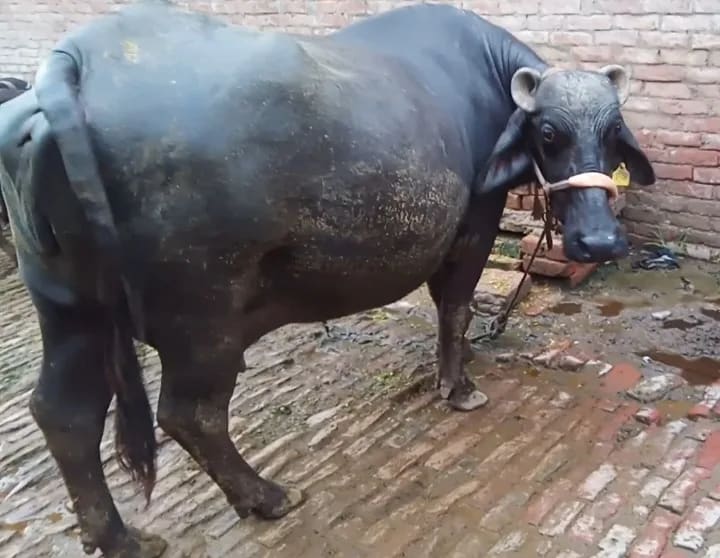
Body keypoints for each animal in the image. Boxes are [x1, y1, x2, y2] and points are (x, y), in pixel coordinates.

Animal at [0, 2, 654, 556]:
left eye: (614, 133)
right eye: (548, 134)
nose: (599, 241)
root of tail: (72, 62)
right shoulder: (473, 227)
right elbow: (456, 307)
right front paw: (459, 386)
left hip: (70, 309)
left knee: (64, 413)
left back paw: (119, 537)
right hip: (201, 316)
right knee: (189, 414)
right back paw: (265, 496)